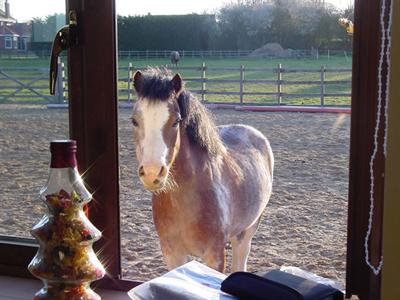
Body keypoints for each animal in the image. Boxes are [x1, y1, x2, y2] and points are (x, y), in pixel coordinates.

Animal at [130, 68, 274, 272]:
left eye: (176, 121)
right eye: (135, 121)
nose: (152, 173)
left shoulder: (215, 255)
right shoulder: (172, 254)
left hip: (248, 230)